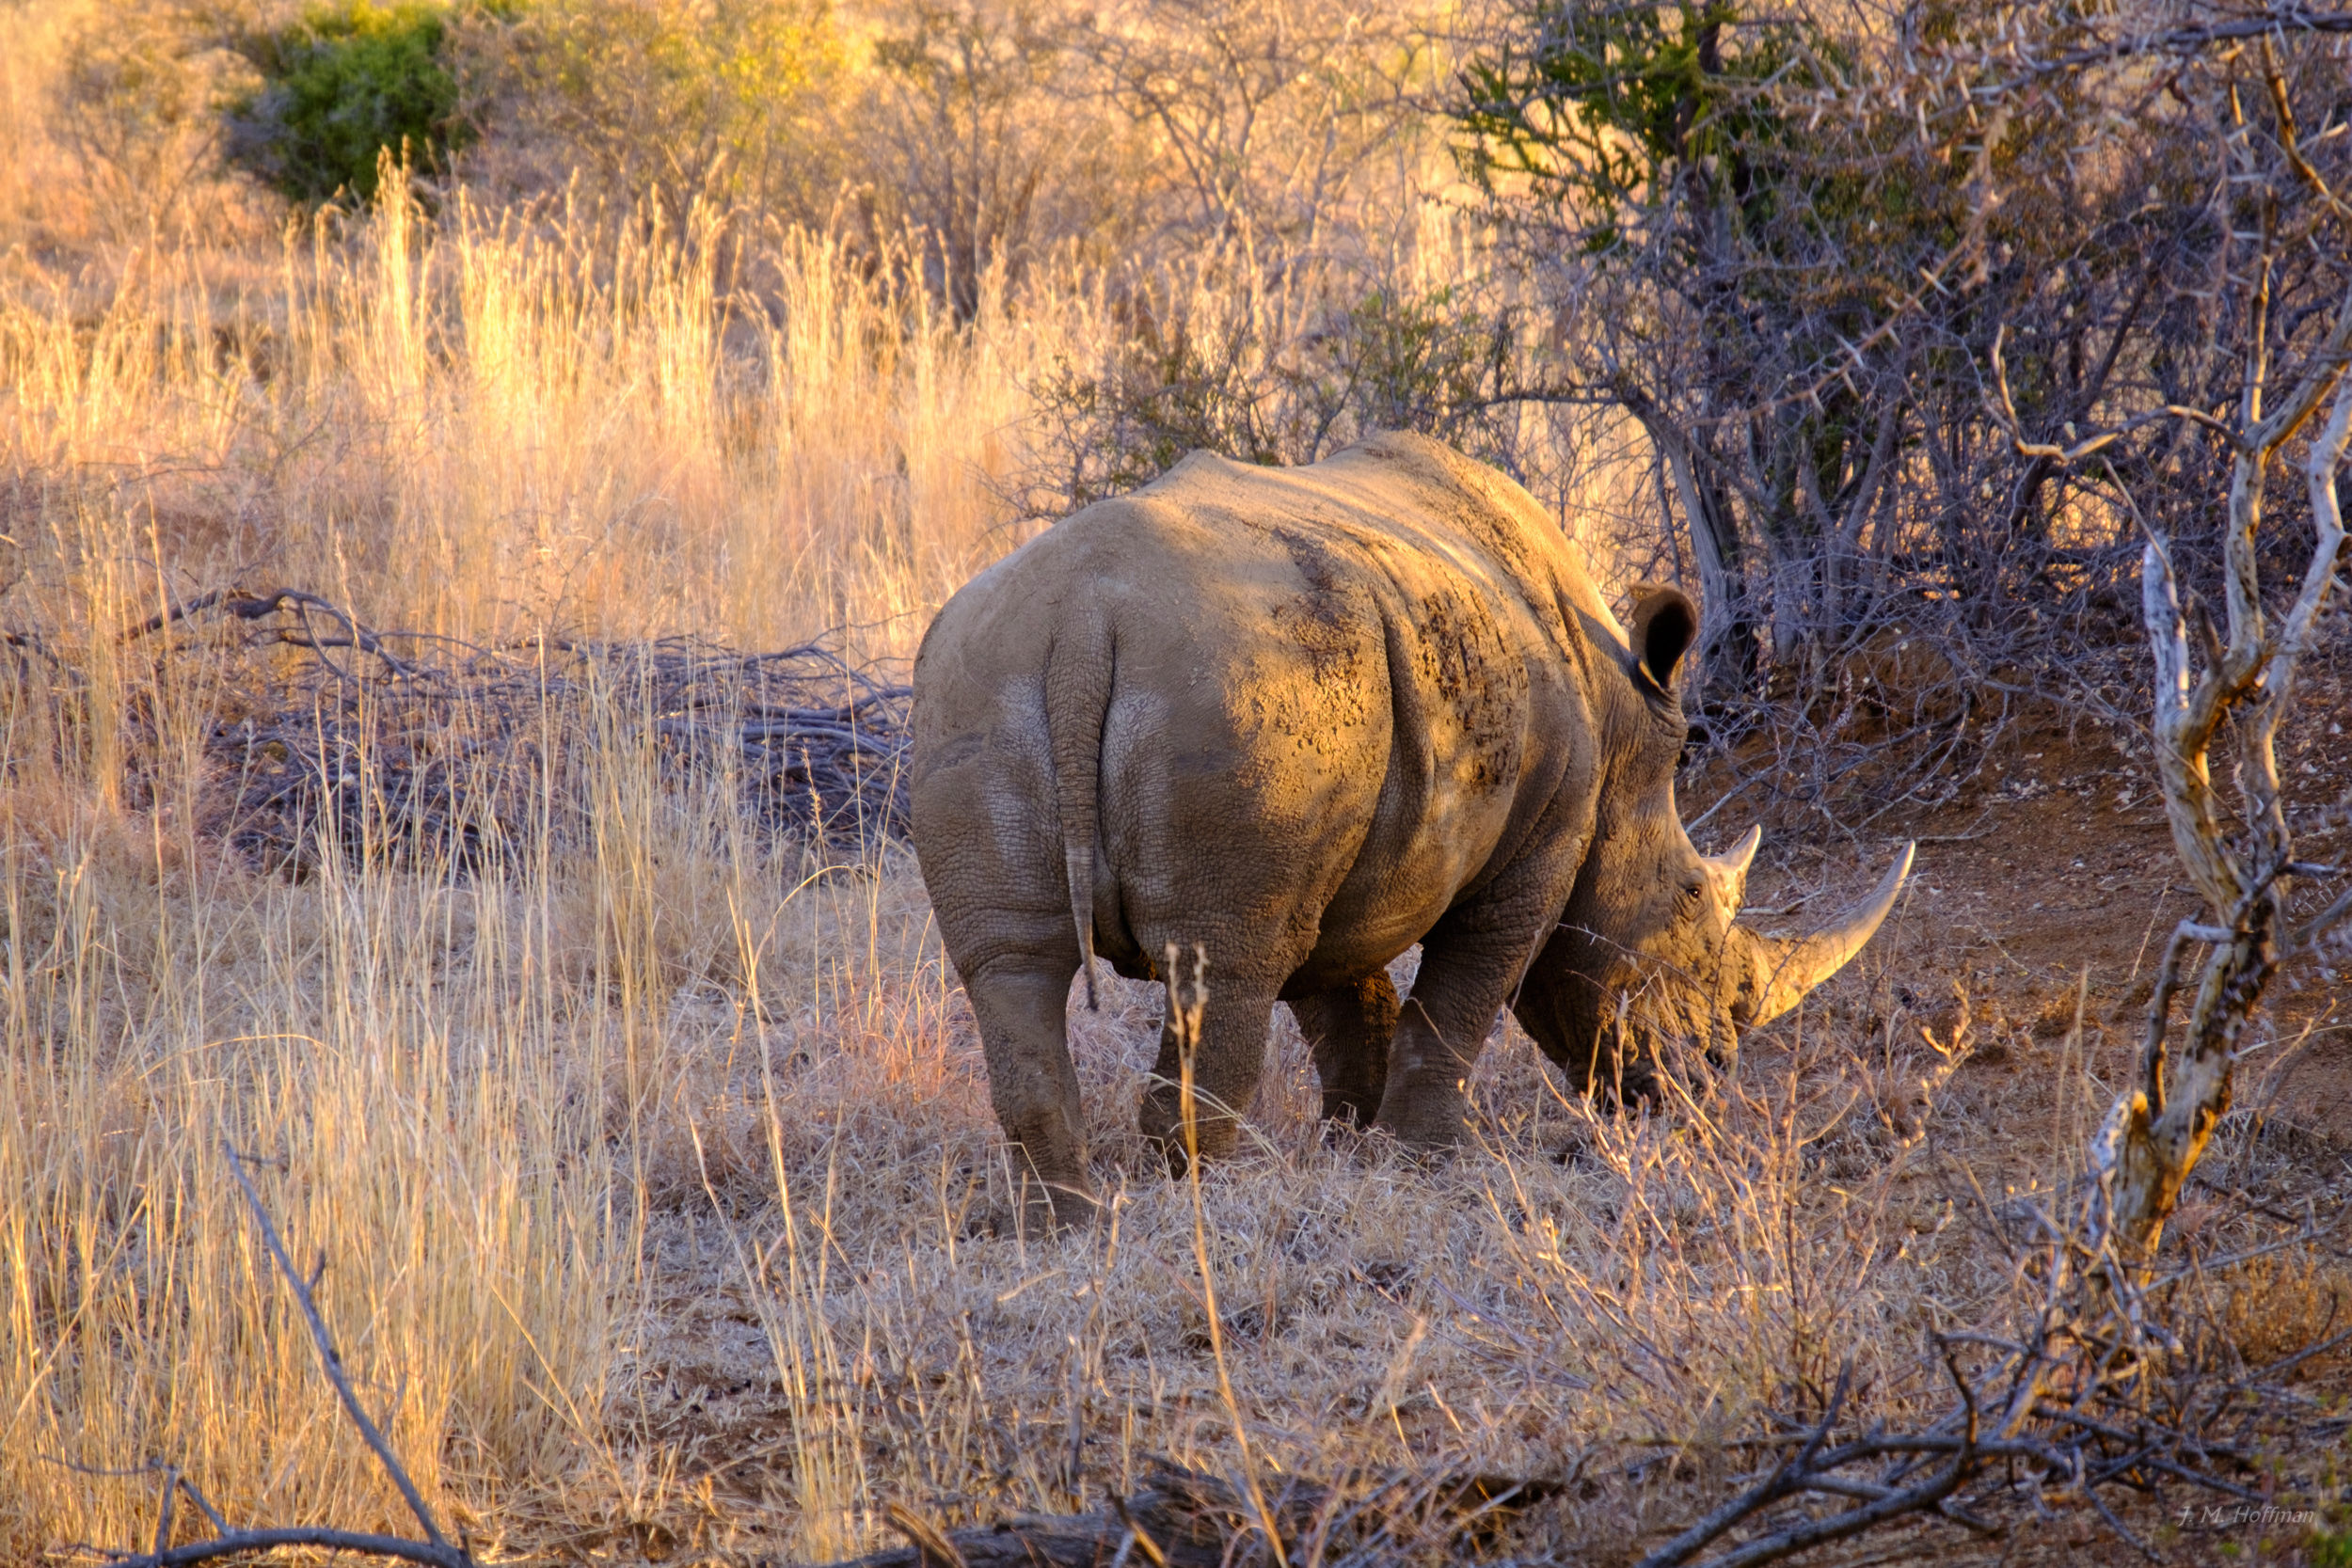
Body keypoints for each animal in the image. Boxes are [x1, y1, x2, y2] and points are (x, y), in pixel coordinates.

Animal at [910, 432, 1911, 1226]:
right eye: (1695, 899)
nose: (1706, 1078)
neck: (1626, 725)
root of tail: (1086, 618)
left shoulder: (1346, 846)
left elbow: (1345, 994)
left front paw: (1352, 1142)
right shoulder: (1542, 841)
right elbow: (1464, 993)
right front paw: (1420, 1159)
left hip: (982, 680)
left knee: (1013, 968)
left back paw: (1067, 1223)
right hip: (1235, 691)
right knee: (1224, 965)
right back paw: (1197, 1203)